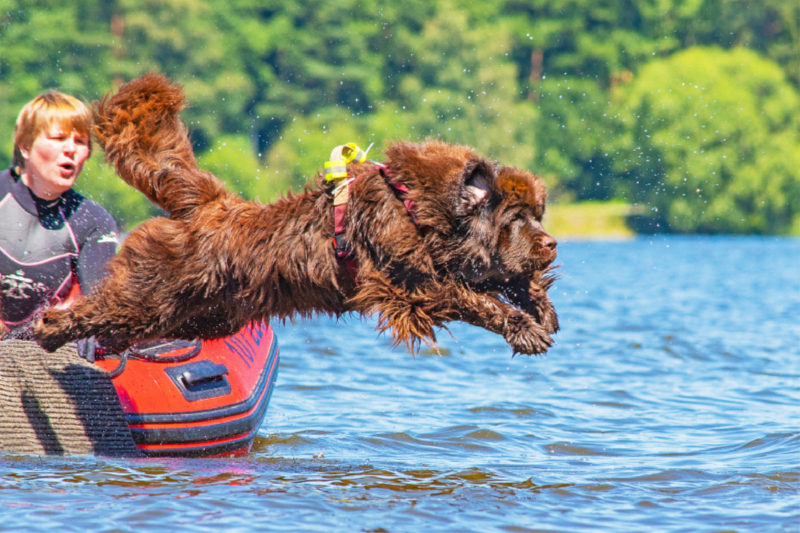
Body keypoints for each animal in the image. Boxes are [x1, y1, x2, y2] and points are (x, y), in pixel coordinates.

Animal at [31, 74, 556, 354]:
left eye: (539, 215)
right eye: (516, 219)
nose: (552, 243)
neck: (421, 207)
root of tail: (212, 205)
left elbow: (502, 278)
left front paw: (541, 310)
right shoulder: (409, 281)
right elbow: (472, 298)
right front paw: (524, 327)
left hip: (201, 314)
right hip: (151, 290)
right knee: (101, 308)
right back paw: (51, 330)